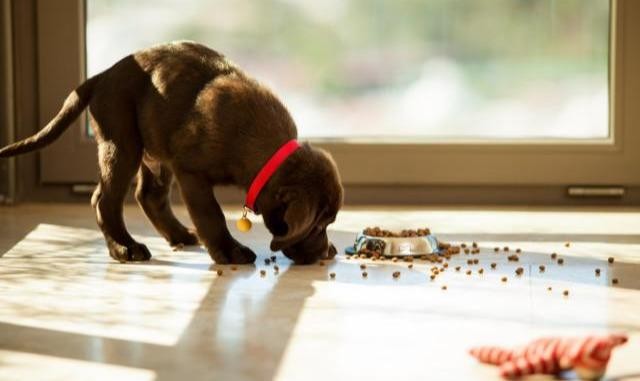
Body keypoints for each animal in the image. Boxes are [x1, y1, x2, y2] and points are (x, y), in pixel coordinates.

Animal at [0, 40, 344, 262]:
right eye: (318, 225)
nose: (326, 253)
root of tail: (101, 76)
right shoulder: (191, 171)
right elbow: (211, 214)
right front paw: (229, 251)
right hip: (122, 144)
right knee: (105, 200)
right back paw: (125, 248)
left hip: (154, 151)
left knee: (148, 196)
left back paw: (178, 235)